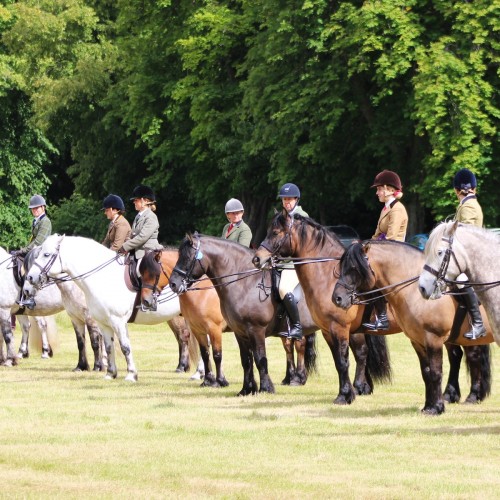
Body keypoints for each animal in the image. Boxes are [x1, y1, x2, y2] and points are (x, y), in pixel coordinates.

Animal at [24, 233, 188, 378]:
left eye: (46, 254)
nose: (30, 280)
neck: (102, 277)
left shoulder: (115, 321)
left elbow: (121, 346)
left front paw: (128, 373)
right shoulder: (96, 321)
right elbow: (103, 346)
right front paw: (106, 372)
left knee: (185, 336)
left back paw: (184, 368)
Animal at [170, 233, 392, 398]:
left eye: (186, 257)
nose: (173, 283)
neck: (244, 282)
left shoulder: (255, 330)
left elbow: (260, 358)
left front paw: (265, 388)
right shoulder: (239, 332)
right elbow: (246, 360)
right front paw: (246, 389)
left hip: (346, 328)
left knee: (361, 354)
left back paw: (358, 387)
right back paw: (364, 387)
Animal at [252, 214, 396, 406]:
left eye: (275, 232)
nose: (257, 259)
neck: (327, 277)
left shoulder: (340, 327)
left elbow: (343, 361)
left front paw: (345, 395)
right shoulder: (328, 330)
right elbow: (339, 361)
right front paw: (347, 392)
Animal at [332, 238, 496, 414]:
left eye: (354, 268)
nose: (337, 298)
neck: (416, 291)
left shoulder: (433, 338)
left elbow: (436, 372)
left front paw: (436, 408)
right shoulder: (417, 341)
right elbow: (427, 373)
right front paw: (429, 406)